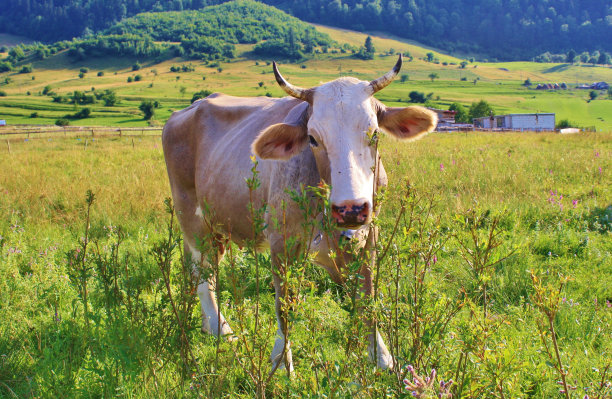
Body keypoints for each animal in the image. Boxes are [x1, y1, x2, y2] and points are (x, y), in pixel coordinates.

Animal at [163, 55, 438, 372]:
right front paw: (282, 362)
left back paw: (208, 325)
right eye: (313, 138)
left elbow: (367, 294)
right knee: (202, 270)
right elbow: (285, 303)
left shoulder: (369, 235)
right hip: (190, 214)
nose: (351, 209)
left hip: (217, 225)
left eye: (375, 134)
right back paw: (219, 327)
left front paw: (381, 356)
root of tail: (189, 108)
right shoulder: (282, 241)